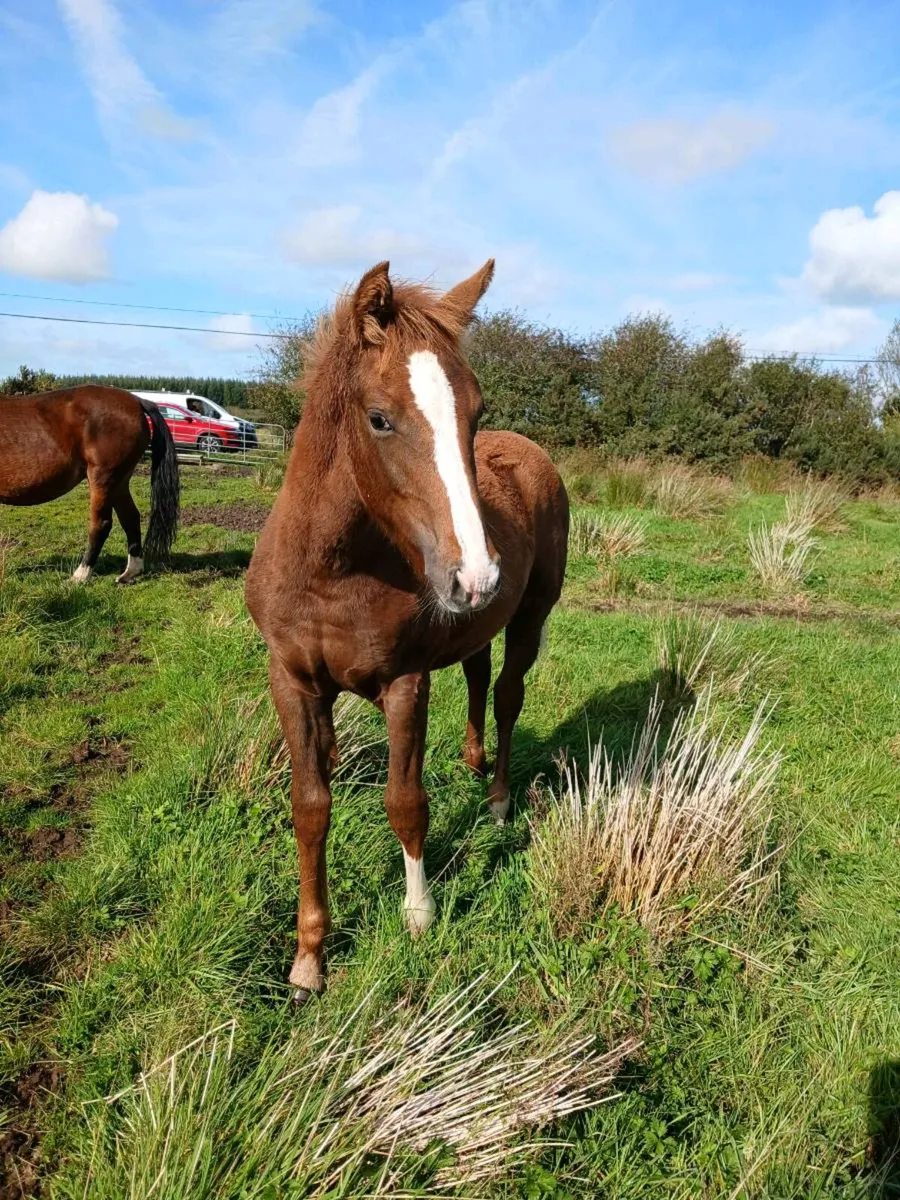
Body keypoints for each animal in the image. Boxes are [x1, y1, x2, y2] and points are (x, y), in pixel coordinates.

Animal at [0, 384, 180, 583]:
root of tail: (137, 400)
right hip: (119, 483)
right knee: (130, 518)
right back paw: (130, 572)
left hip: (102, 478)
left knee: (101, 524)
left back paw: (81, 574)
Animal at [246, 259, 570, 1002]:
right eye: (380, 419)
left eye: (476, 413)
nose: (476, 575)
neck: (331, 573)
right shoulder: (292, 682)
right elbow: (310, 807)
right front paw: (308, 958)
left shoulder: (403, 683)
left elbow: (404, 801)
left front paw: (418, 914)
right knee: (478, 674)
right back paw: (474, 762)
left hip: (531, 615)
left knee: (507, 696)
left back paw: (499, 799)